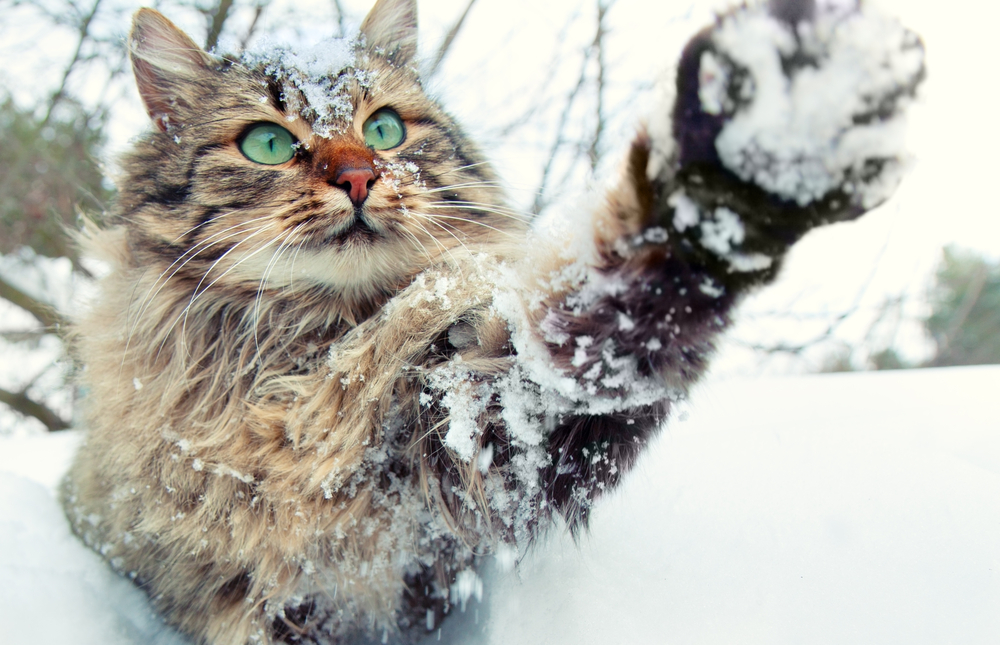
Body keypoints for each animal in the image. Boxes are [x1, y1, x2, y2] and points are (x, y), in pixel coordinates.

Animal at [60, 0, 920, 640]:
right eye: (268, 143)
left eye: (383, 128)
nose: (359, 177)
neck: (314, 355)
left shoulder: (486, 433)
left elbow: (609, 317)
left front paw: (750, 164)